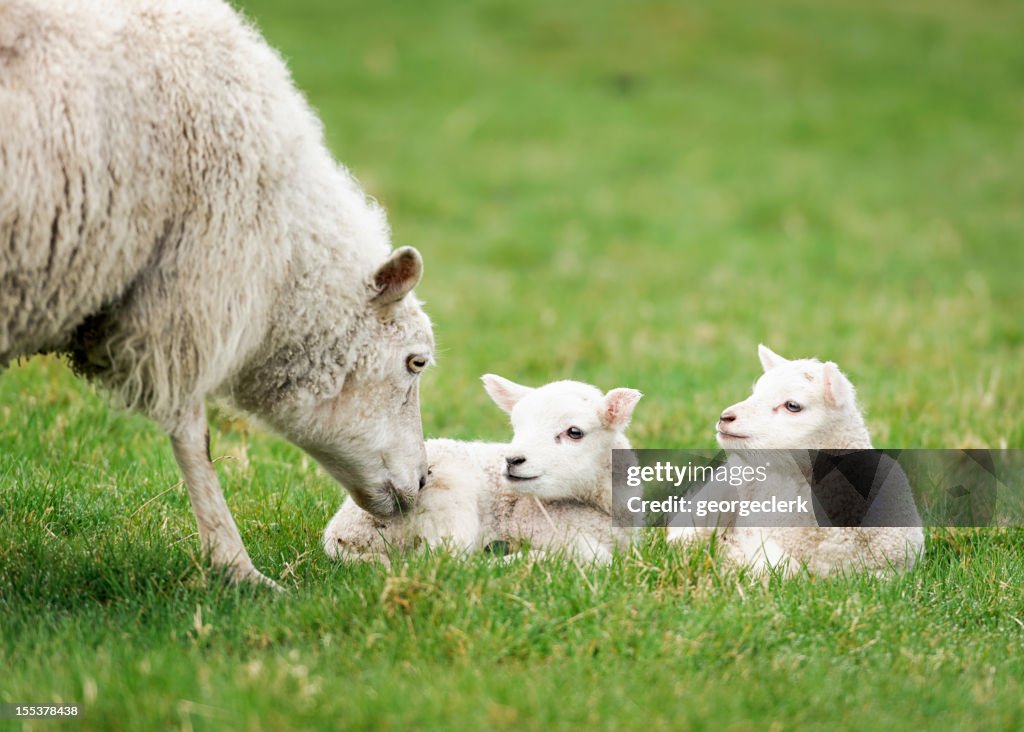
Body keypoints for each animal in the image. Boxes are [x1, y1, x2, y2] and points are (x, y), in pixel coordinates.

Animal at [0, 0, 435, 587]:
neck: (281, 249)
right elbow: (193, 435)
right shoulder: (188, 290)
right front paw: (238, 568)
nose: (424, 480)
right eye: (416, 362)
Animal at [323, 375, 644, 564]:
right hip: (449, 497)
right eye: (516, 427)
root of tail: (338, 535)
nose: (512, 460)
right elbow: (597, 557)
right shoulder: (538, 525)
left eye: (574, 432)